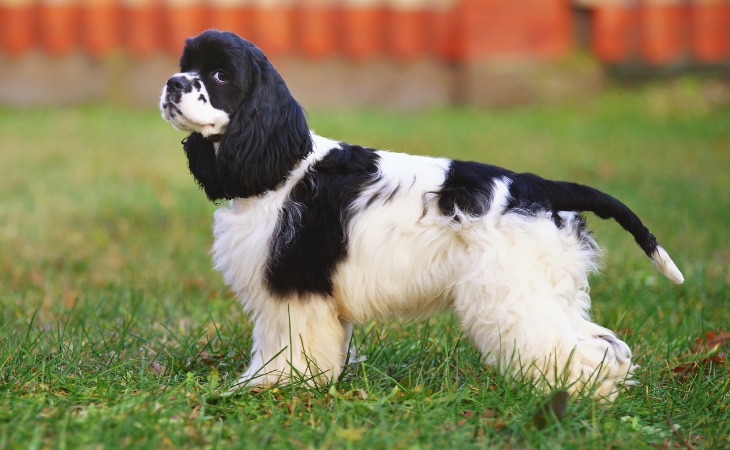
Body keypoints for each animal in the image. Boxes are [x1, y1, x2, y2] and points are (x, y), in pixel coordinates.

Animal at [159, 29, 684, 400]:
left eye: (220, 76)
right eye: (186, 66)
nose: (172, 83)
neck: (282, 164)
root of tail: (536, 186)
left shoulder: (292, 287)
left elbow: (285, 346)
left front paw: (271, 386)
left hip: (513, 296)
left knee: (580, 349)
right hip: (546, 292)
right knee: (607, 344)